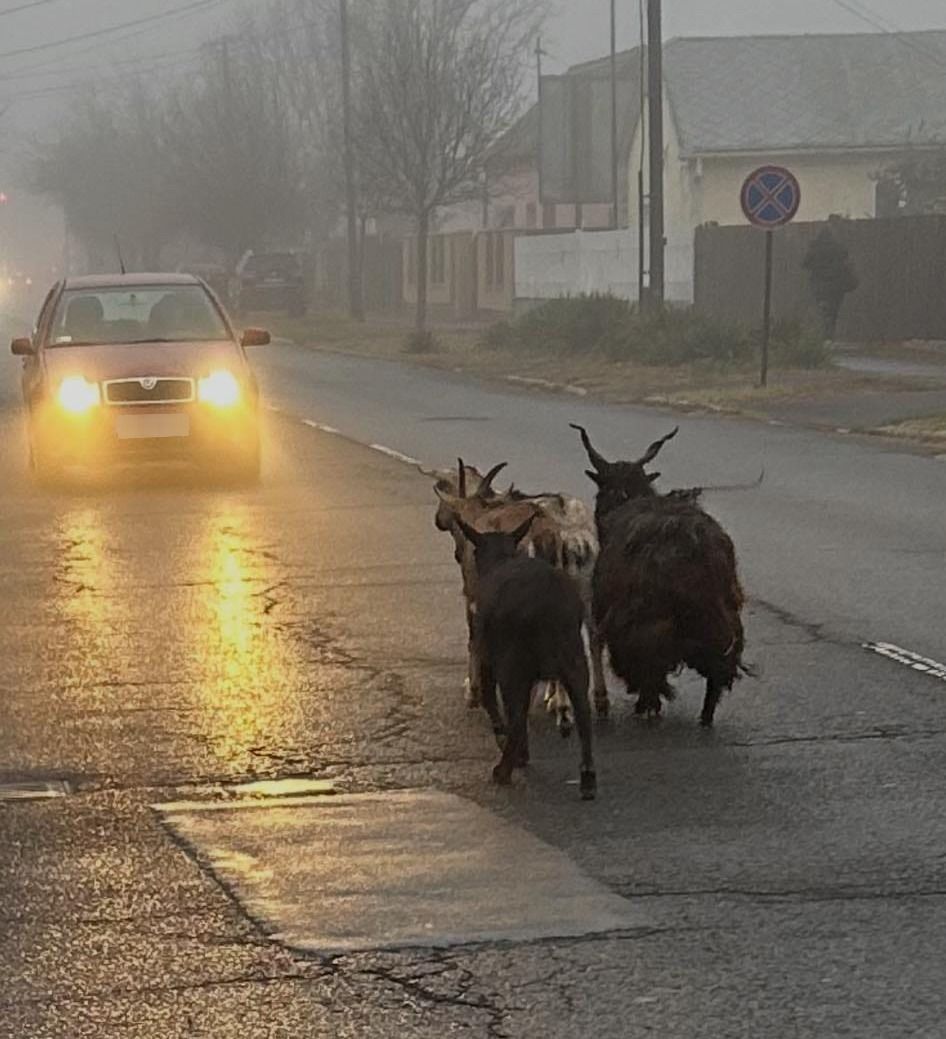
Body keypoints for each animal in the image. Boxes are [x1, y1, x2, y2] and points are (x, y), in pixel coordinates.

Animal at [569, 425, 748, 727]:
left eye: (599, 492)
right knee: (717, 671)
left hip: (648, 624)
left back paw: (648, 705)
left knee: (650, 667)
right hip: (722, 622)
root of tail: (693, 545)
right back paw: (704, 718)